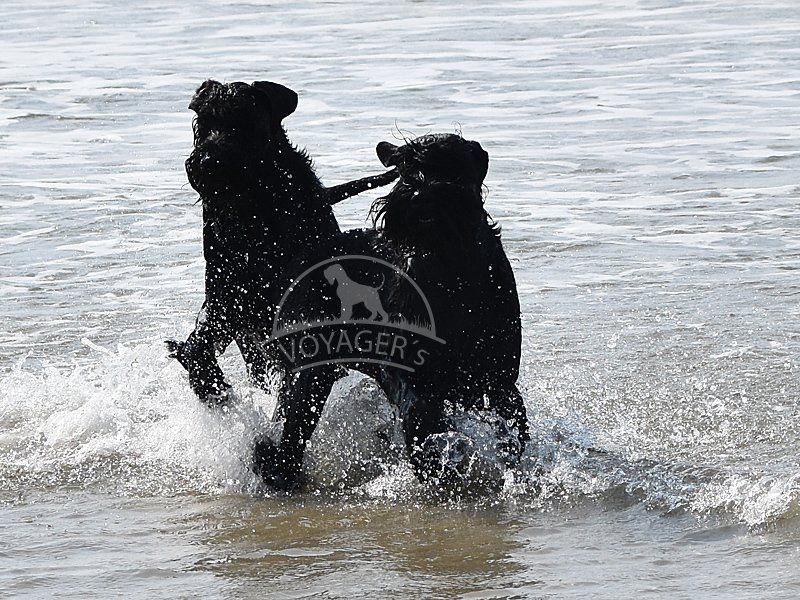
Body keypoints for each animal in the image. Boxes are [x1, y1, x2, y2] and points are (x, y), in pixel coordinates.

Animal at [166, 80, 397, 407]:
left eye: (245, 120)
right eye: (203, 122)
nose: (209, 162)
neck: (252, 208)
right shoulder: (225, 291)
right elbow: (200, 340)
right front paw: (209, 383)